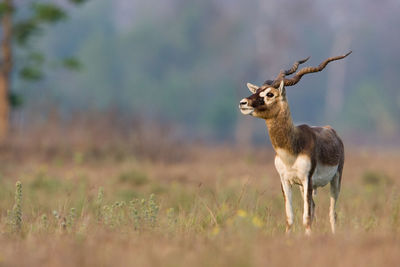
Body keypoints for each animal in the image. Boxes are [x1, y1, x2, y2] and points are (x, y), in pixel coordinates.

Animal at [239, 51, 352, 236]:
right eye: (258, 91)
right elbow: (290, 217)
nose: (243, 103)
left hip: (335, 180)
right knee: (314, 207)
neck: (291, 149)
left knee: (332, 213)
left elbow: (306, 217)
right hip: (304, 187)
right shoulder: (286, 181)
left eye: (270, 94)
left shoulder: (307, 179)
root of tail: (332, 131)